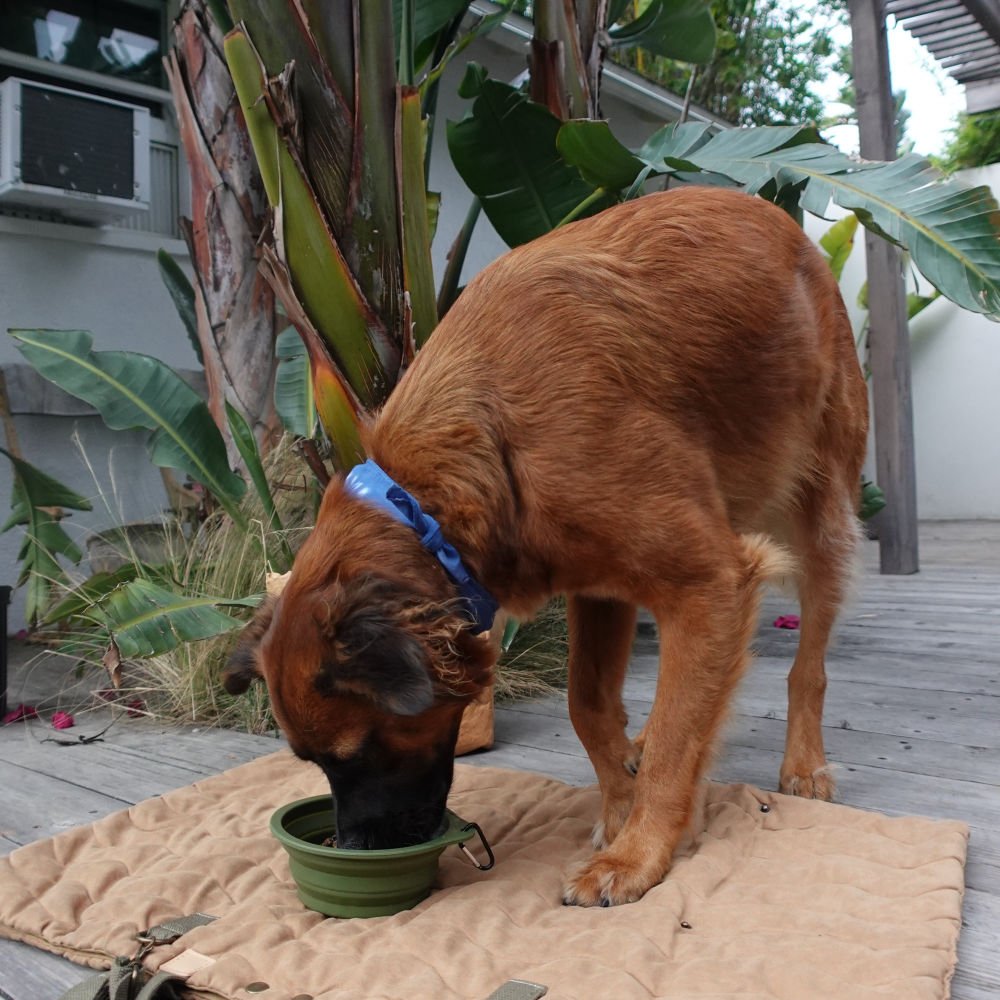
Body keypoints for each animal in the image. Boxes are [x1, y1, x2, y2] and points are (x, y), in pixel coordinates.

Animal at [227, 186, 868, 908]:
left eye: (357, 751)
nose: (355, 850)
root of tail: (791, 228)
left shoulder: (709, 582)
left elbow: (677, 741)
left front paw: (637, 853)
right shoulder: (598, 585)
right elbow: (586, 703)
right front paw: (620, 804)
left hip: (820, 515)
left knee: (807, 664)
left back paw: (805, 763)